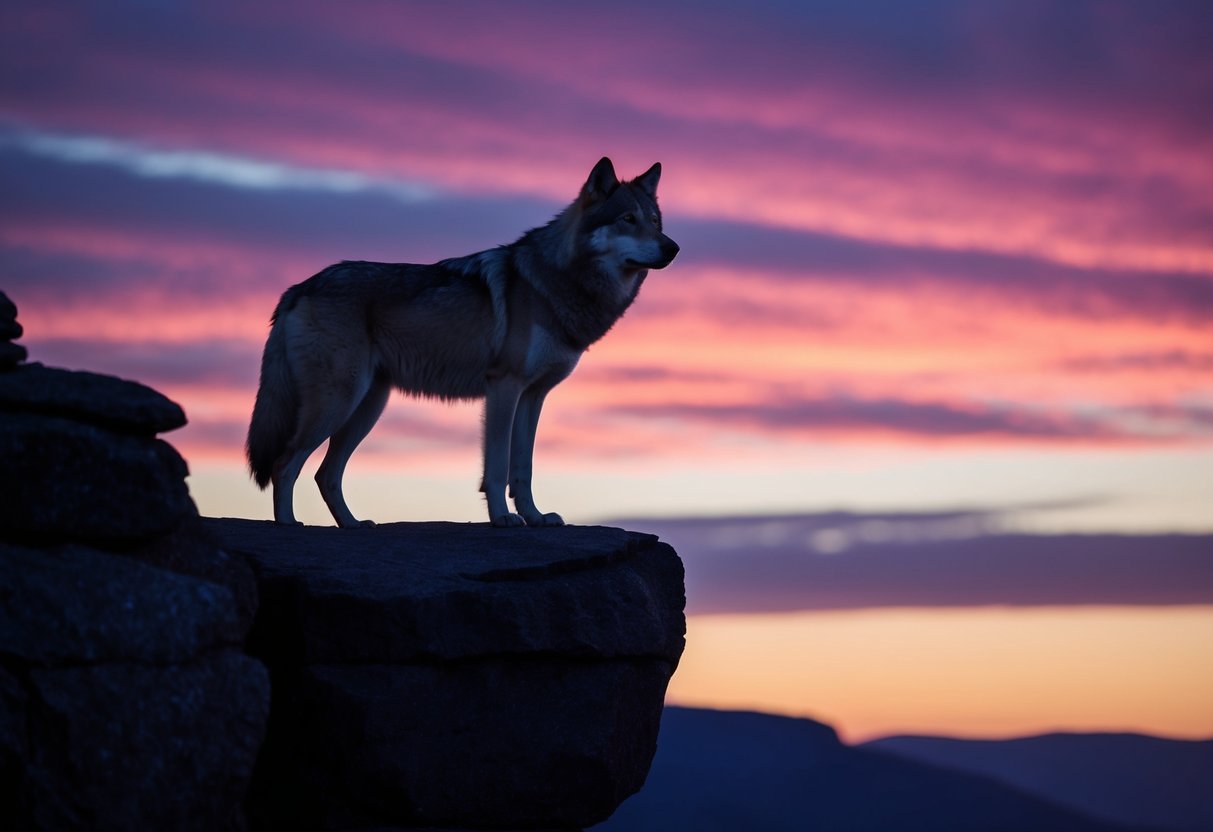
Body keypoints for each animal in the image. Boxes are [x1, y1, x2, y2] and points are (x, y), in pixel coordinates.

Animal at [246, 157, 678, 528]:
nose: (672, 247)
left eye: (656, 222)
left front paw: (535, 517)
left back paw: (353, 524)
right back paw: (289, 526)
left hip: (367, 407)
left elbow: (523, 469)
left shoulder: (533, 396)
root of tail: (299, 288)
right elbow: (498, 466)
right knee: (285, 464)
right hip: (339, 402)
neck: (556, 280)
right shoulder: (504, 387)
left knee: (325, 474)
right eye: (628, 219)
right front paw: (503, 518)